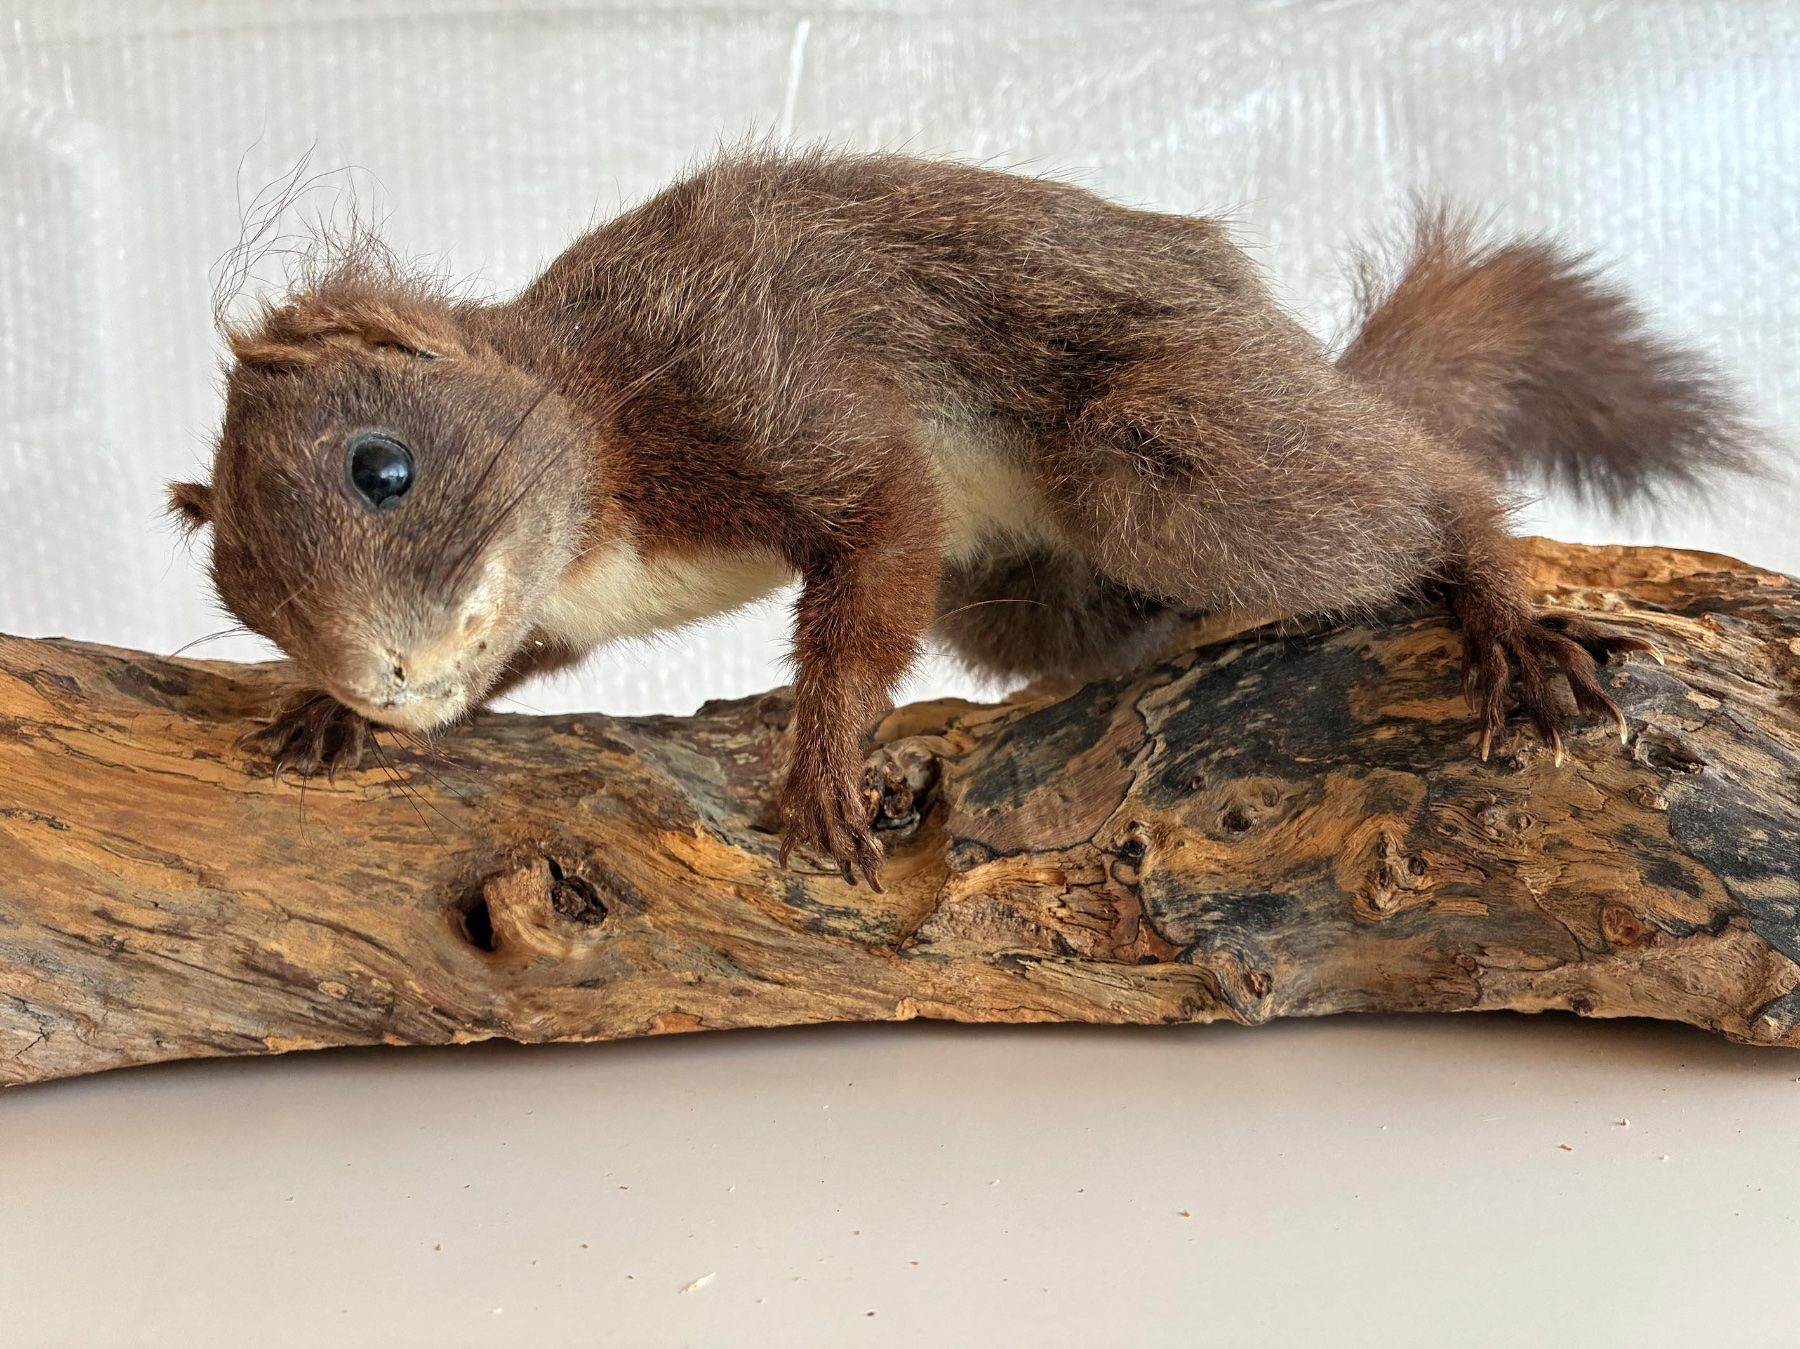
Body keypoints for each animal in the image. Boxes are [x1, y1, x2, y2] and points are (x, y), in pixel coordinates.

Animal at [170, 148, 1759, 888]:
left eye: (384, 466)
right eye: (239, 587)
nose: (376, 674)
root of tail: (1286, 349)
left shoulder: (758, 365)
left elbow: (877, 545)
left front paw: (821, 761)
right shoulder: (553, 605)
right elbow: (524, 659)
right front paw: (324, 720)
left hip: (1162, 450)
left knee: (1422, 481)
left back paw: (1499, 604)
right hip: (1029, 591)